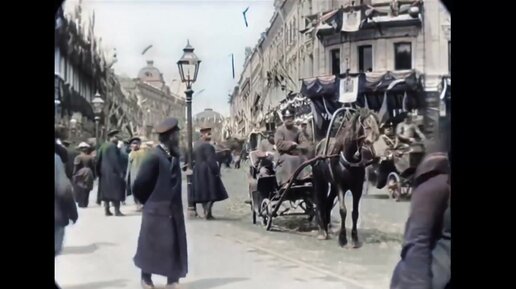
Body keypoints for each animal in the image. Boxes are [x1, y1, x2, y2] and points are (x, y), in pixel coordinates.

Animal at [310, 107, 378, 246]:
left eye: (376, 122)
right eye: (367, 124)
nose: (375, 136)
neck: (349, 159)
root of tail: (318, 145)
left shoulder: (357, 188)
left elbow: (355, 213)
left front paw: (355, 238)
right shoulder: (340, 185)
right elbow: (343, 210)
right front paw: (342, 238)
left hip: (332, 186)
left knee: (328, 202)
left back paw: (327, 227)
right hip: (320, 180)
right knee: (320, 202)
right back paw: (322, 231)